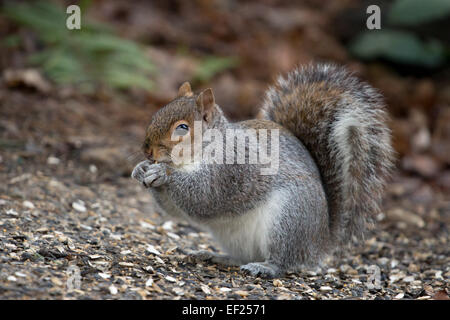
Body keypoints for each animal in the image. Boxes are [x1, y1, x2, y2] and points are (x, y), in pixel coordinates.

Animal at [131, 63, 394, 278]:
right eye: (157, 114)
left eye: (183, 128)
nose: (147, 151)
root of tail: (319, 243)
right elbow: (175, 210)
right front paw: (141, 169)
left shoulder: (235, 167)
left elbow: (205, 196)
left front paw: (164, 174)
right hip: (236, 237)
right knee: (242, 257)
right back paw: (215, 255)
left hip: (288, 219)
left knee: (284, 260)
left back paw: (266, 267)